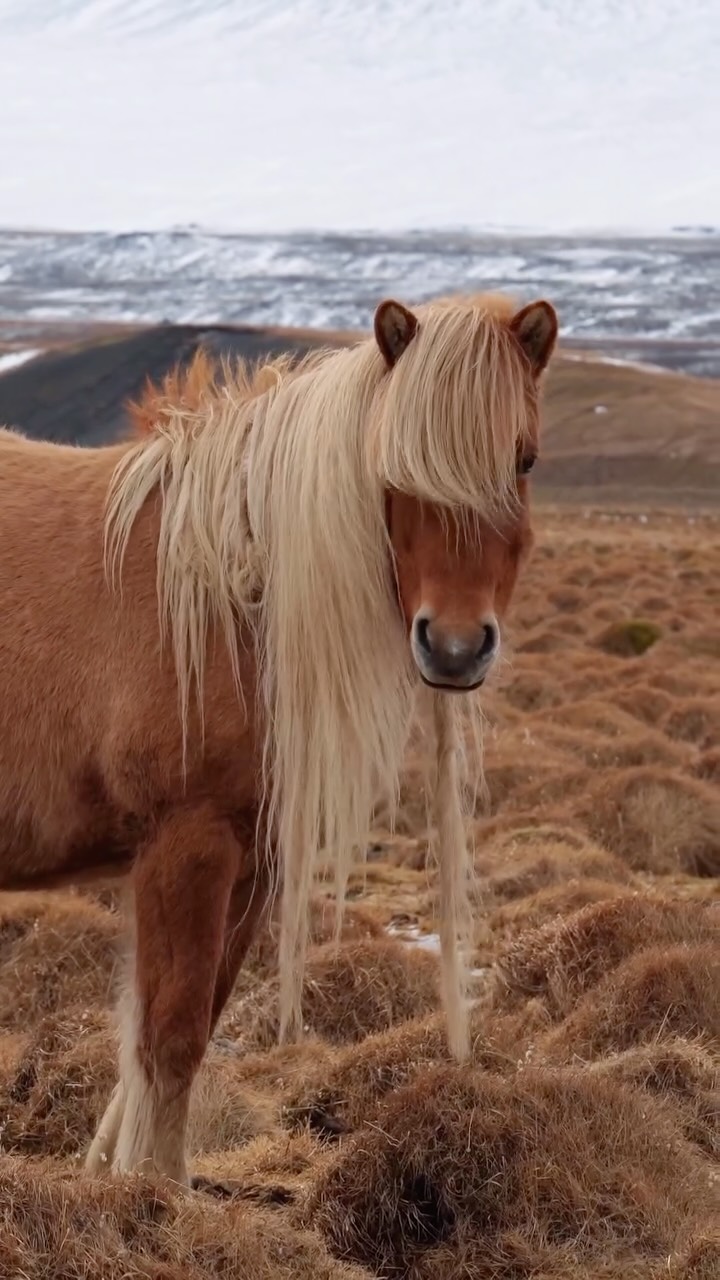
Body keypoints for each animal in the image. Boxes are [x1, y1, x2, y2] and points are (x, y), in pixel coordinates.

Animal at [0, 291, 557, 1188]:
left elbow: (186, 1030)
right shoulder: (186, 845)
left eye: (525, 461)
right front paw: (157, 1199)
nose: (454, 648)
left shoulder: (251, 860)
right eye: (394, 473)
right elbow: (171, 1037)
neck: (234, 594)